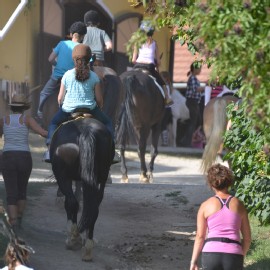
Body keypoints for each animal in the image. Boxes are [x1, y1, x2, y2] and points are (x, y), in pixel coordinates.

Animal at [50, 117, 113, 260]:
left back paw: (73, 239)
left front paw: (75, 238)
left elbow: (71, 202)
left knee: (72, 202)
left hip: (62, 176)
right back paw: (88, 247)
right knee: (94, 208)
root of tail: (86, 130)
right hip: (100, 177)